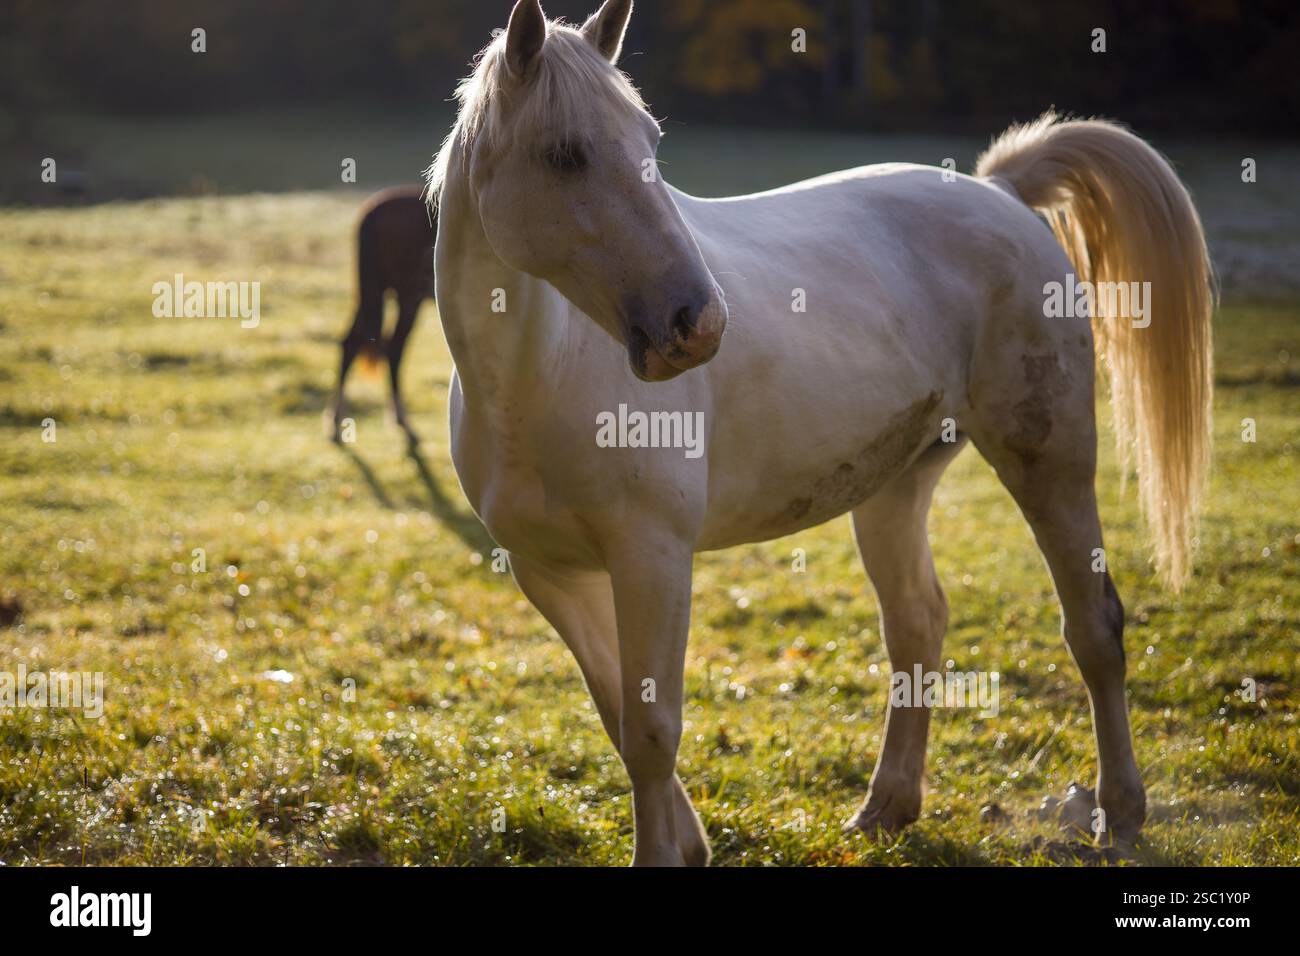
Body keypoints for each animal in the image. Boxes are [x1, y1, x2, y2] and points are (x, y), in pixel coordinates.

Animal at [330, 185, 437, 444]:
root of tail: (373, 209)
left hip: (372, 292)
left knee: (350, 342)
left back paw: (337, 423)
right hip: (406, 295)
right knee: (394, 349)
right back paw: (403, 423)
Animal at [427, 0, 1214, 865]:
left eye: (650, 144)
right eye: (565, 155)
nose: (697, 325)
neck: (540, 377)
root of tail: (1000, 190)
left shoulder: (652, 557)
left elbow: (652, 732)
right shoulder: (551, 574)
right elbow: (619, 719)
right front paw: (689, 842)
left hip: (1050, 462)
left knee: (1093, 626)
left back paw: (1120, 809)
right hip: (897, 487)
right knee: (917, 624)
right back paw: (888, 807)